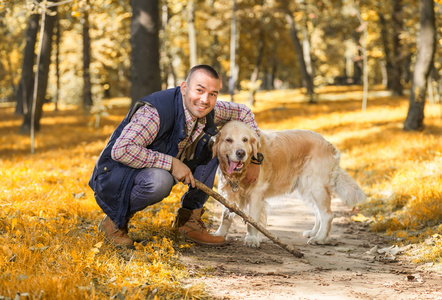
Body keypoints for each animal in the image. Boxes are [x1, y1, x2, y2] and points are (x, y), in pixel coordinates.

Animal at [212, 120, 364, 247]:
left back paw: (319, 238)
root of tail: (328, 144)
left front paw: (252, 239)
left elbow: (252, 219)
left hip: (316, 186)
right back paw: (314, 232)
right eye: (229, 140)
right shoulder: (228, 192)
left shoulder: (256, 194)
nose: (241, 153)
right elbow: (225, 217)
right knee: (318, 212)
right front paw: (219, 235)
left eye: (245, 140)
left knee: (327, 214)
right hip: (307, 189)